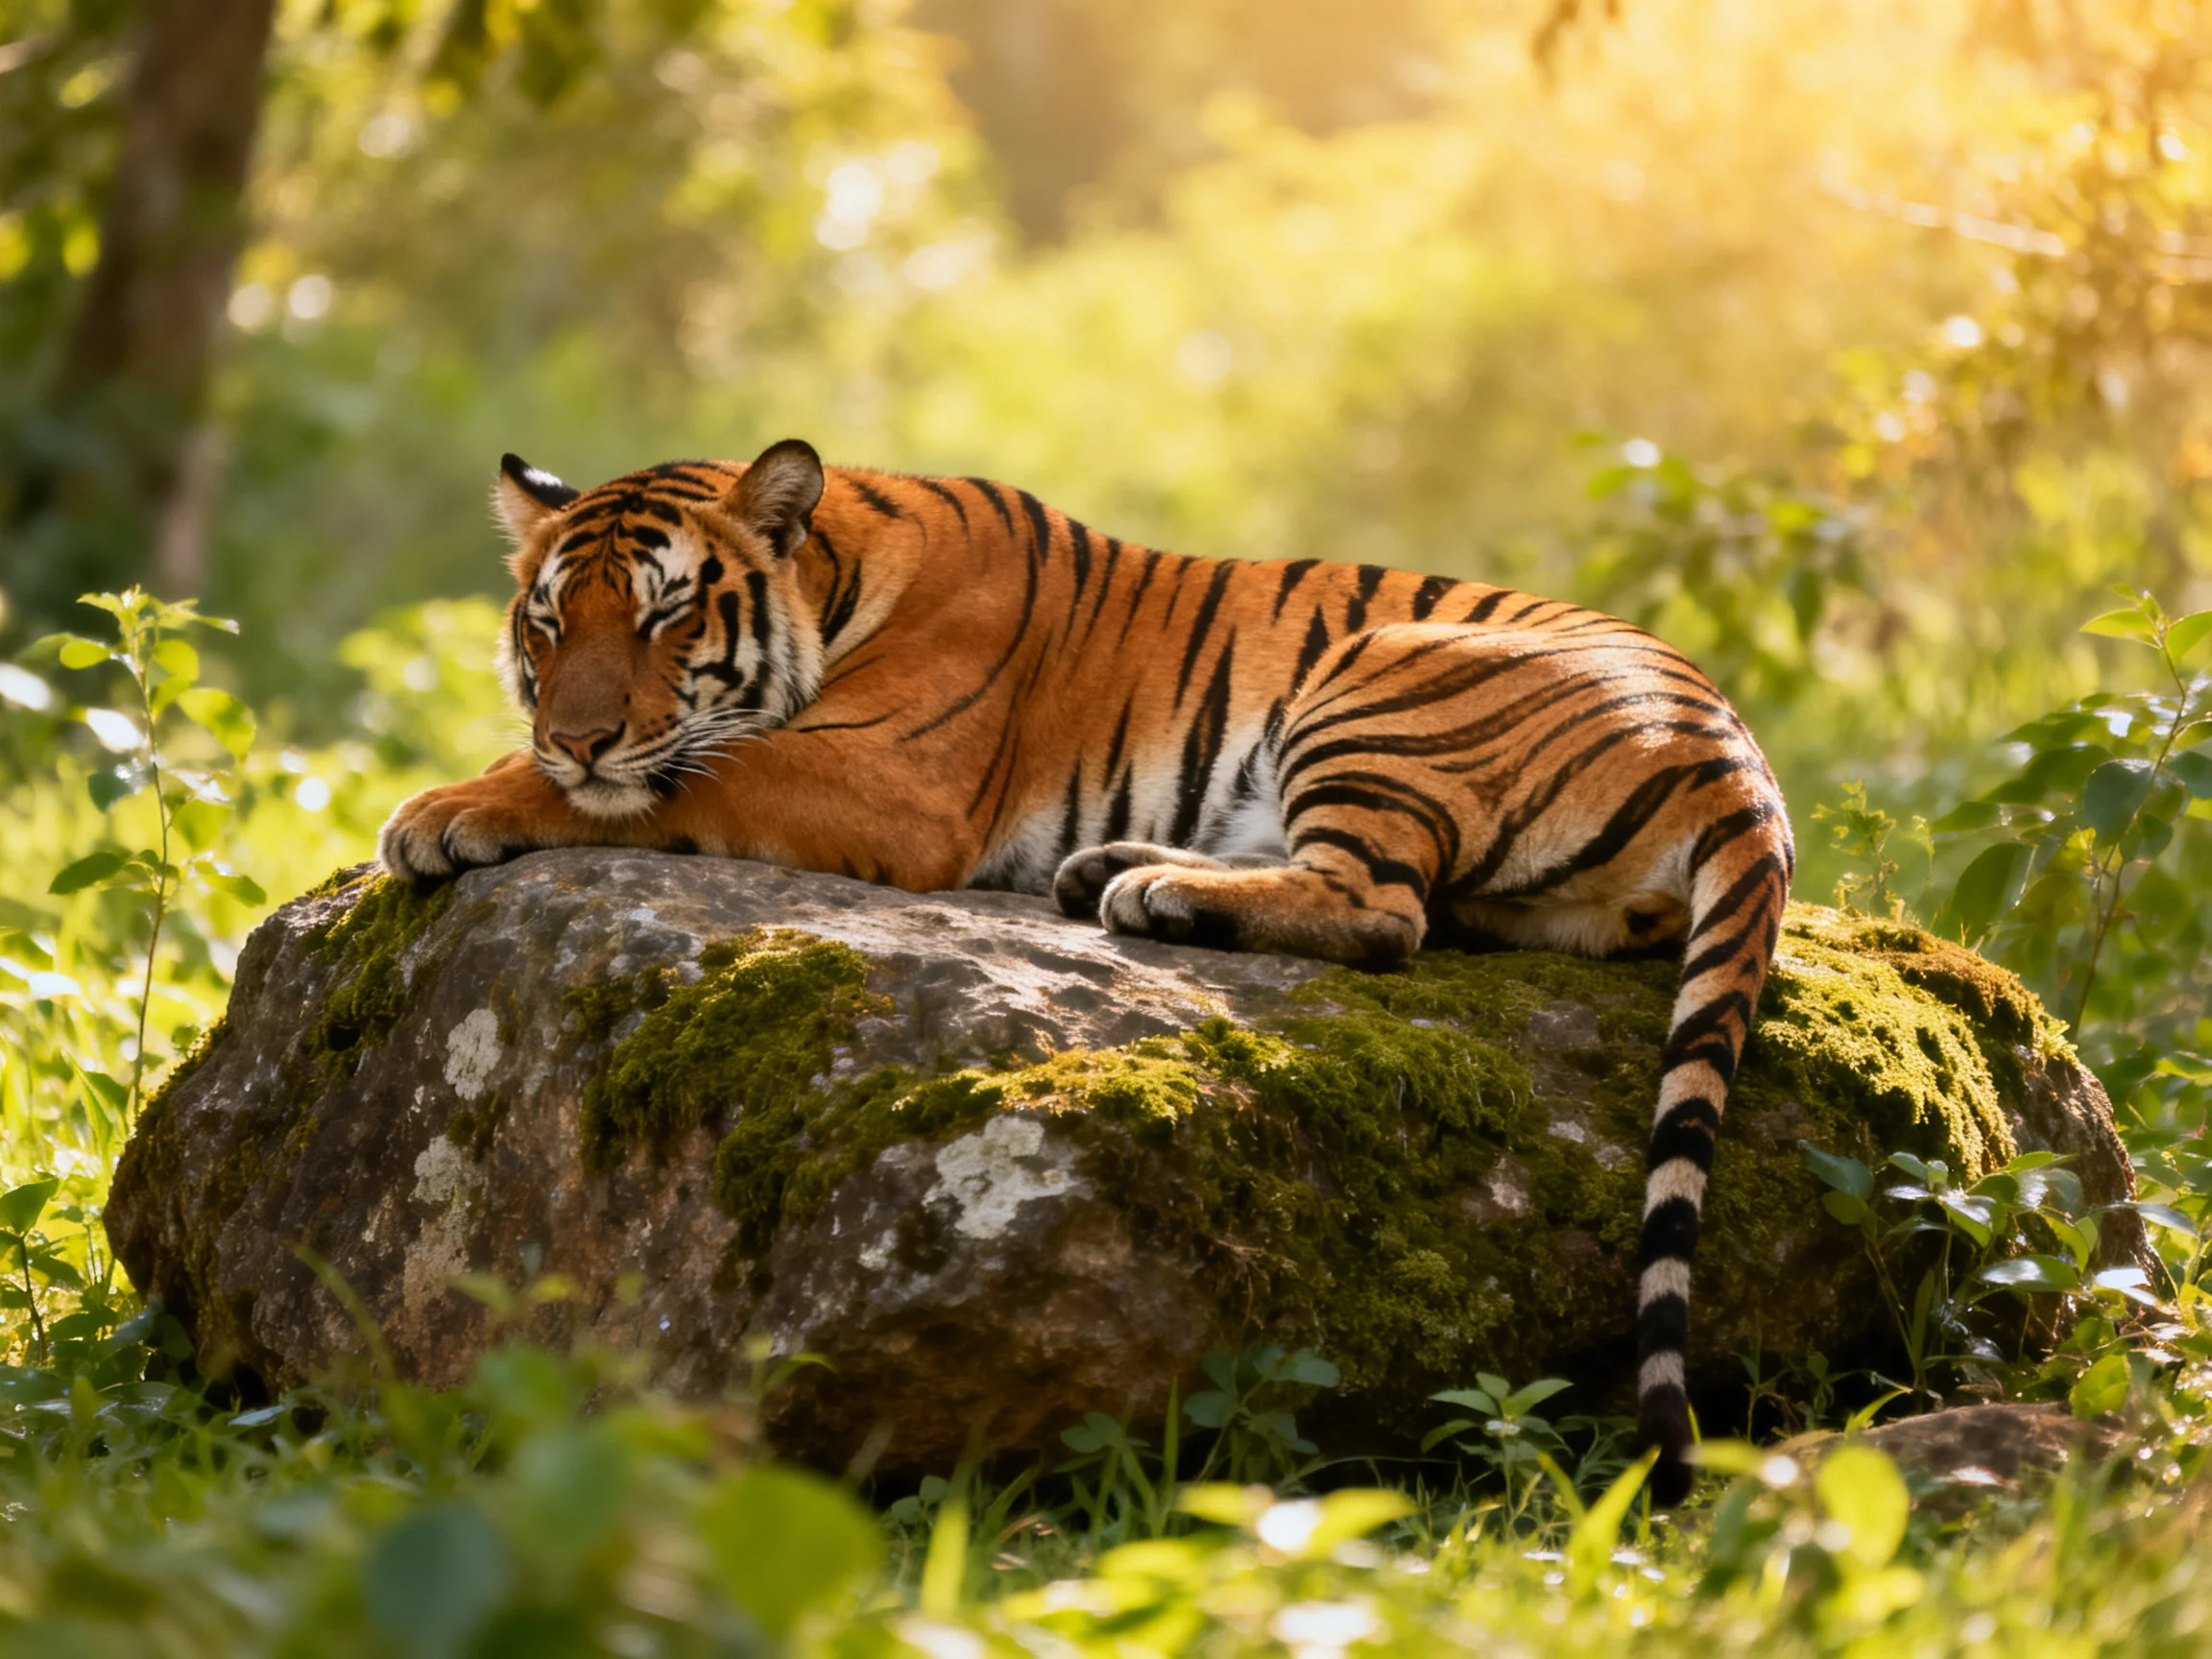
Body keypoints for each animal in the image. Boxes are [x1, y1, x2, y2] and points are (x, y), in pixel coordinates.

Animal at [379, 438, 1794, 1504]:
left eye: (667, 612)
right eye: (549, 621)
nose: (578, 735)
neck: (838, 582)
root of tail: (1740, 755)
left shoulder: (882, 776)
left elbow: (674, 784)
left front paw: (451, 807)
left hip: (1381, 675)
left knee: (1384, 912)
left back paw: (1153, 889)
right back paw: (1114, 865)